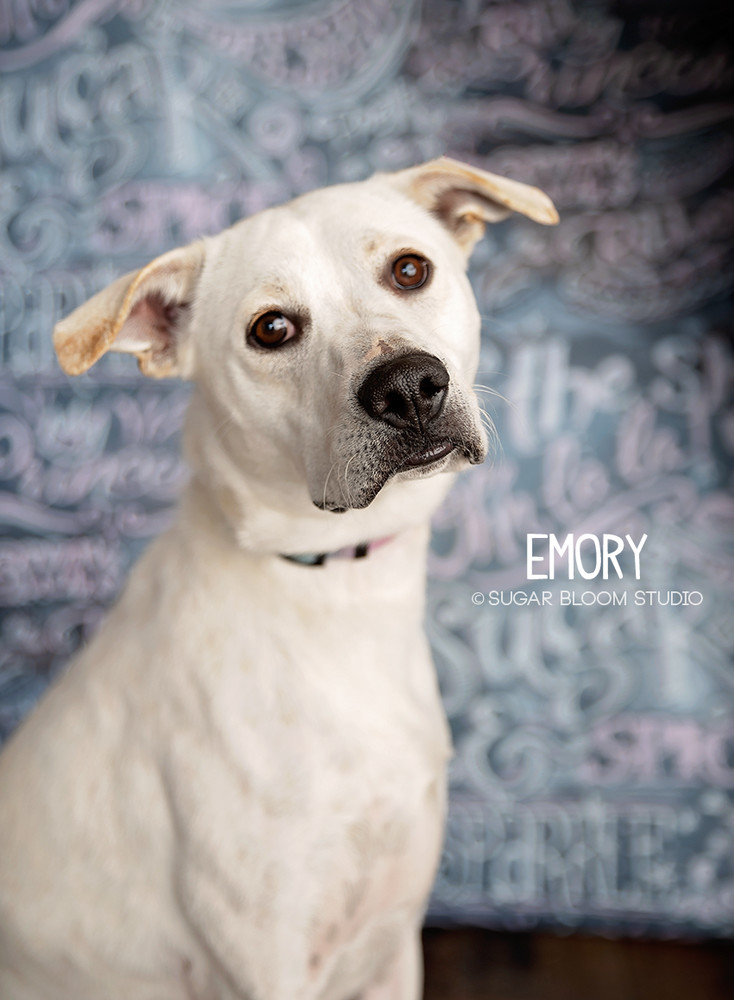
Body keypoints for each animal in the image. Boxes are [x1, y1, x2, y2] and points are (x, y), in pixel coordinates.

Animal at [0, 160, 556, 996]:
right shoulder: (269, 965)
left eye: (410, 270)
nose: (408, 386)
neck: (336, 593)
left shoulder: (392, 948)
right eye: (272, 329)